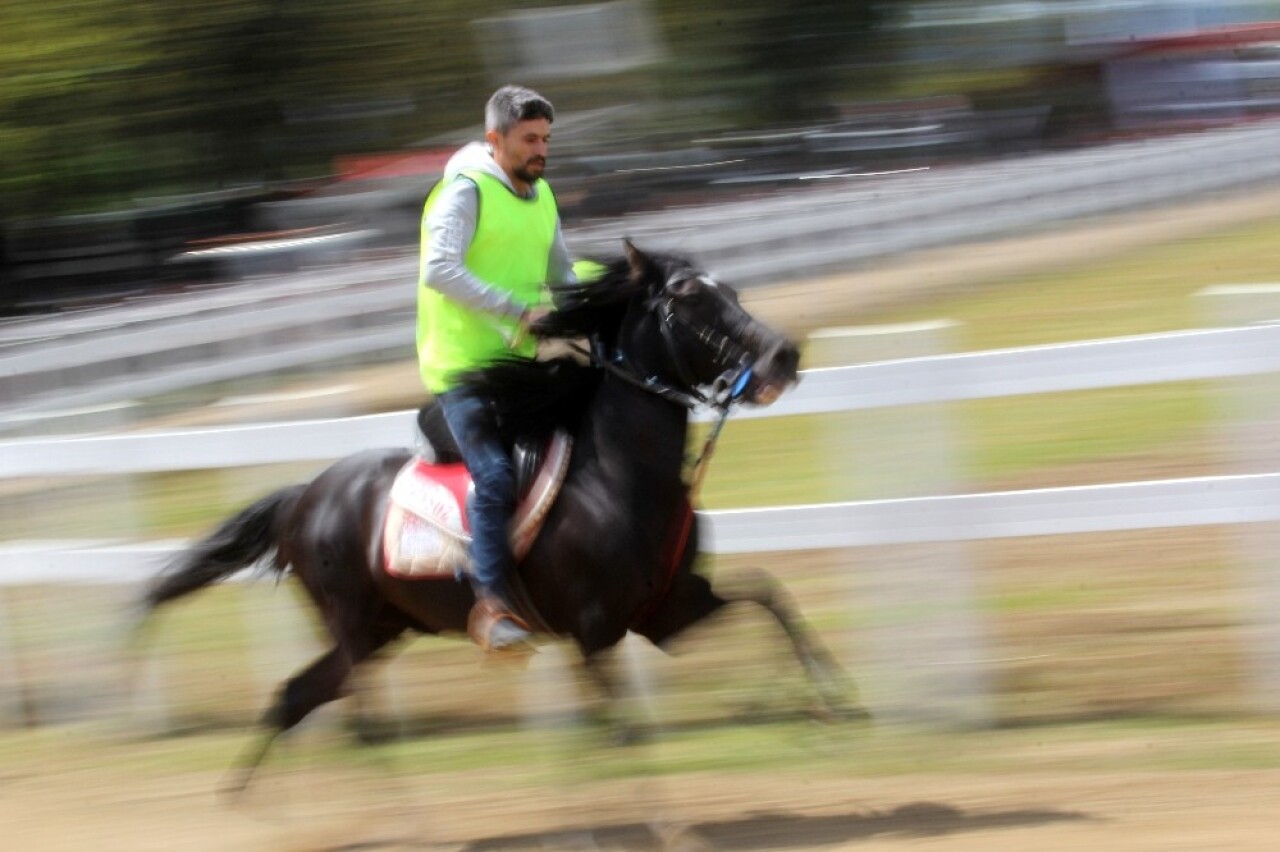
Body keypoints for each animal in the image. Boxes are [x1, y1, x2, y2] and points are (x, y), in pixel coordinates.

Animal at [137, 240, 860, 788]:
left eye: (730, 289)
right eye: (689, 299)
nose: (783, 355)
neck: (617, 480)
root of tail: (303, 497)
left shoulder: (668, 611)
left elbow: (768, 596)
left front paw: (830, 699)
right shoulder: (596, 633)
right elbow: (624, 734)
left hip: (380, 629)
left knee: (295, 698)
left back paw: (258, 804)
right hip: (353, 628)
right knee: (345, 715)